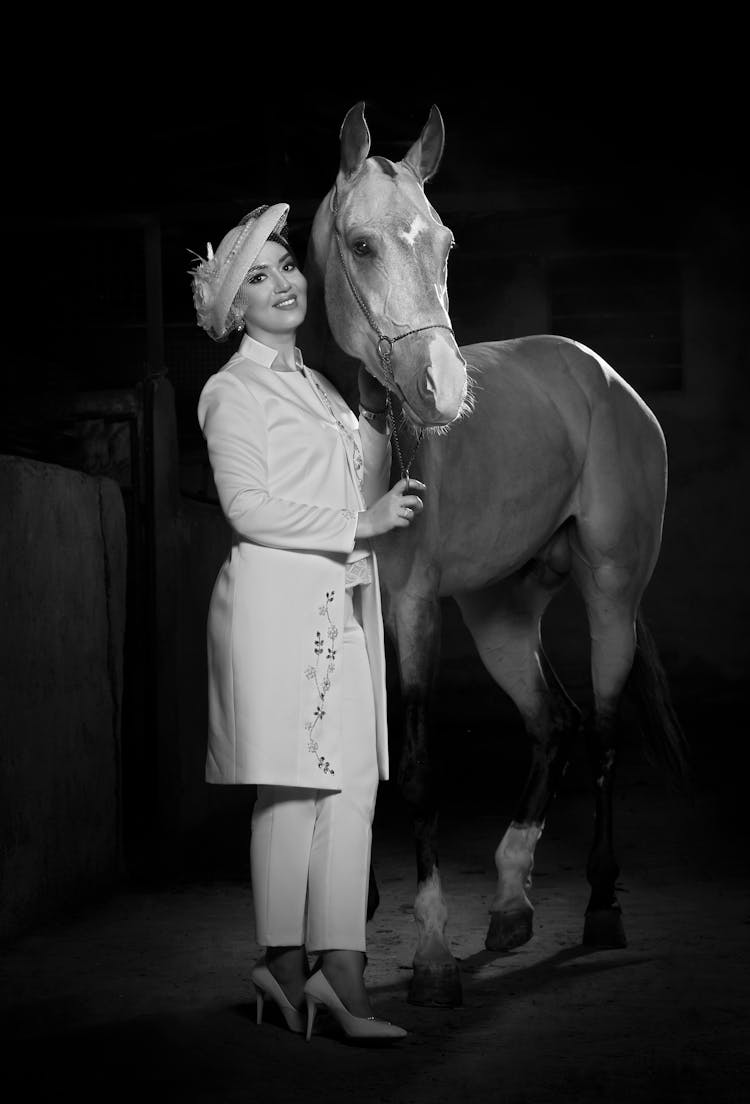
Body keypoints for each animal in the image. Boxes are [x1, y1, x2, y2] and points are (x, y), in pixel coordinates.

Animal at [298, 99, 684, 1006]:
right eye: (361, 244)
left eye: (444, 244)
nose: (443, 391)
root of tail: (605, 377)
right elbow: (353, 761)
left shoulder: (413, 612)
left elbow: (417, 769)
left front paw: (433, 952)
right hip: (501, 611)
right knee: (554, 724)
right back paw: (510, 903)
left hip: (610, 593)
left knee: (601, 729)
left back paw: (600, 907)